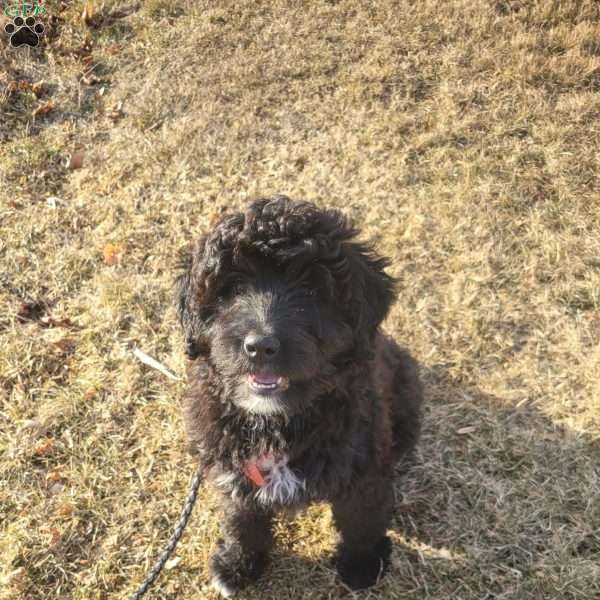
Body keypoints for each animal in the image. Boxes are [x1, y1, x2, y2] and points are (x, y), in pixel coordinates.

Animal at [176, 196, 424, 596]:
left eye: (311, 290)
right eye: (232, 289)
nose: (260, 346)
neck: (276, 422)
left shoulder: (362, 474)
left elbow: (362, 521)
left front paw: (362, 565)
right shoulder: (232, 471)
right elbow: (241, 519)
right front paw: (237, 564)